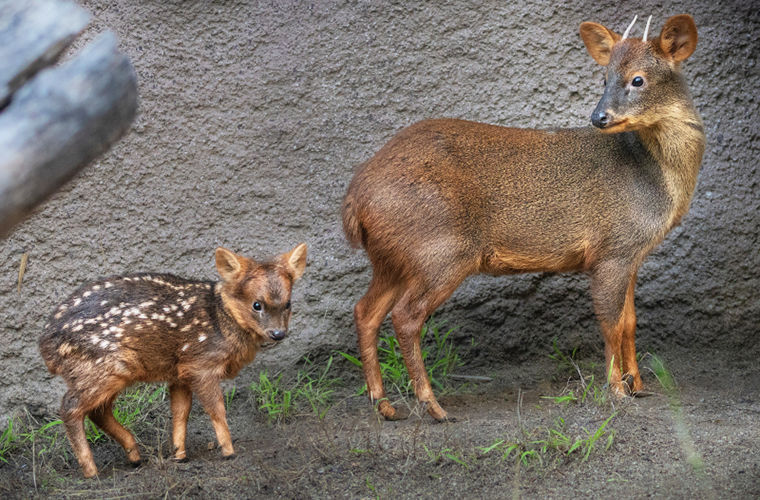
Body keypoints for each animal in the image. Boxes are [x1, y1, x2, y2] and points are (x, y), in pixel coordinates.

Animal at [40, 244, 308, 478]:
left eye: (288, 304)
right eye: (256, 304)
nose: (278, 333)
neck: (222, 319)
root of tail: (45, 346)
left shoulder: (181, 371)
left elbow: (180, 412)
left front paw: (179, 455)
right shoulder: (202, 364)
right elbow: (216, 409)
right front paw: (229, 451)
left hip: (107, 372)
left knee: (98, 411)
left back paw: (134, 455)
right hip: (101, 367)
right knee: (70, 407)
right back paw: (92, 471)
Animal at [342, 14, 704, 422]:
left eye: (637, 79)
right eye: (604, 78)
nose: (599, 117)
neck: (658, 180)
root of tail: (355, 198)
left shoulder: (632, 255)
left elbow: (629, 321)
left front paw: (638, 385)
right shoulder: (612, 250)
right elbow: (610, 323)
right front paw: (617, 390)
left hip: (393, 258)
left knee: (366, 311)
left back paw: (384, 404)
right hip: (440, 251)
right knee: (405, 317)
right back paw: (432, 406)